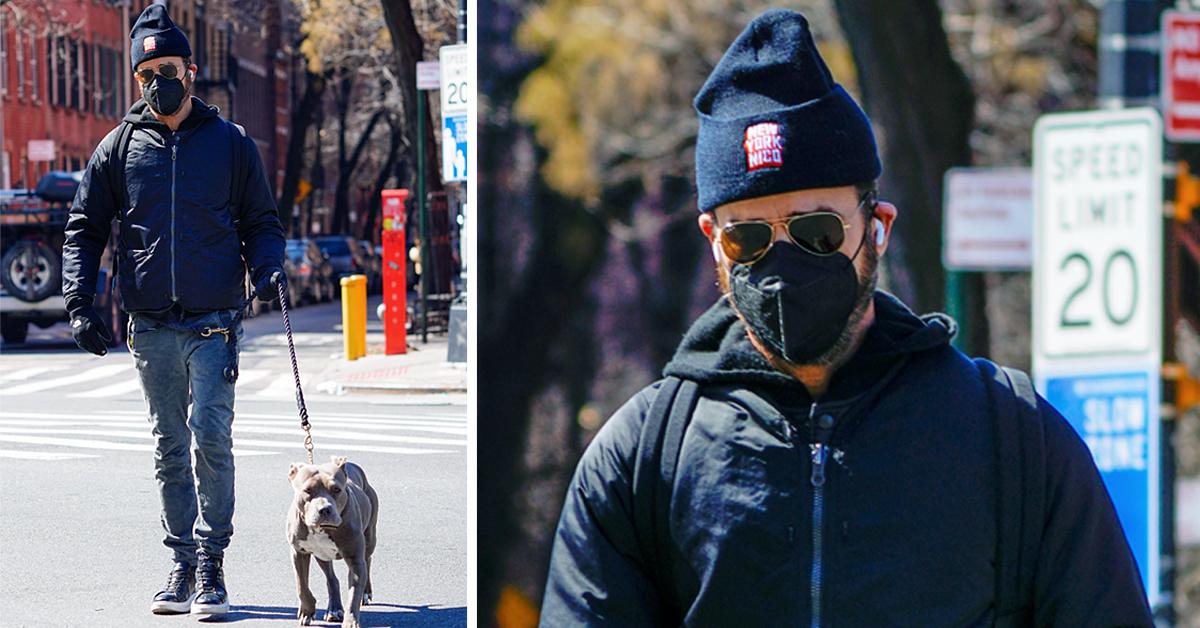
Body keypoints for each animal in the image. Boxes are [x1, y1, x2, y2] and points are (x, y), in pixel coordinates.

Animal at [286, 456, 376, 628]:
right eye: (307, 490)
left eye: (336, 489)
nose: (325, 509)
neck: (322, 529)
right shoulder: (298, 553)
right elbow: (302, 585)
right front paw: (307, 611)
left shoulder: (355, 559)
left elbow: (354, 594)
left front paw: (350, 621)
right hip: (322, 555)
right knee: (331, 578)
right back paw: (334, 609)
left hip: (370, 538)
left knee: (367, 560)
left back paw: (366, 592)